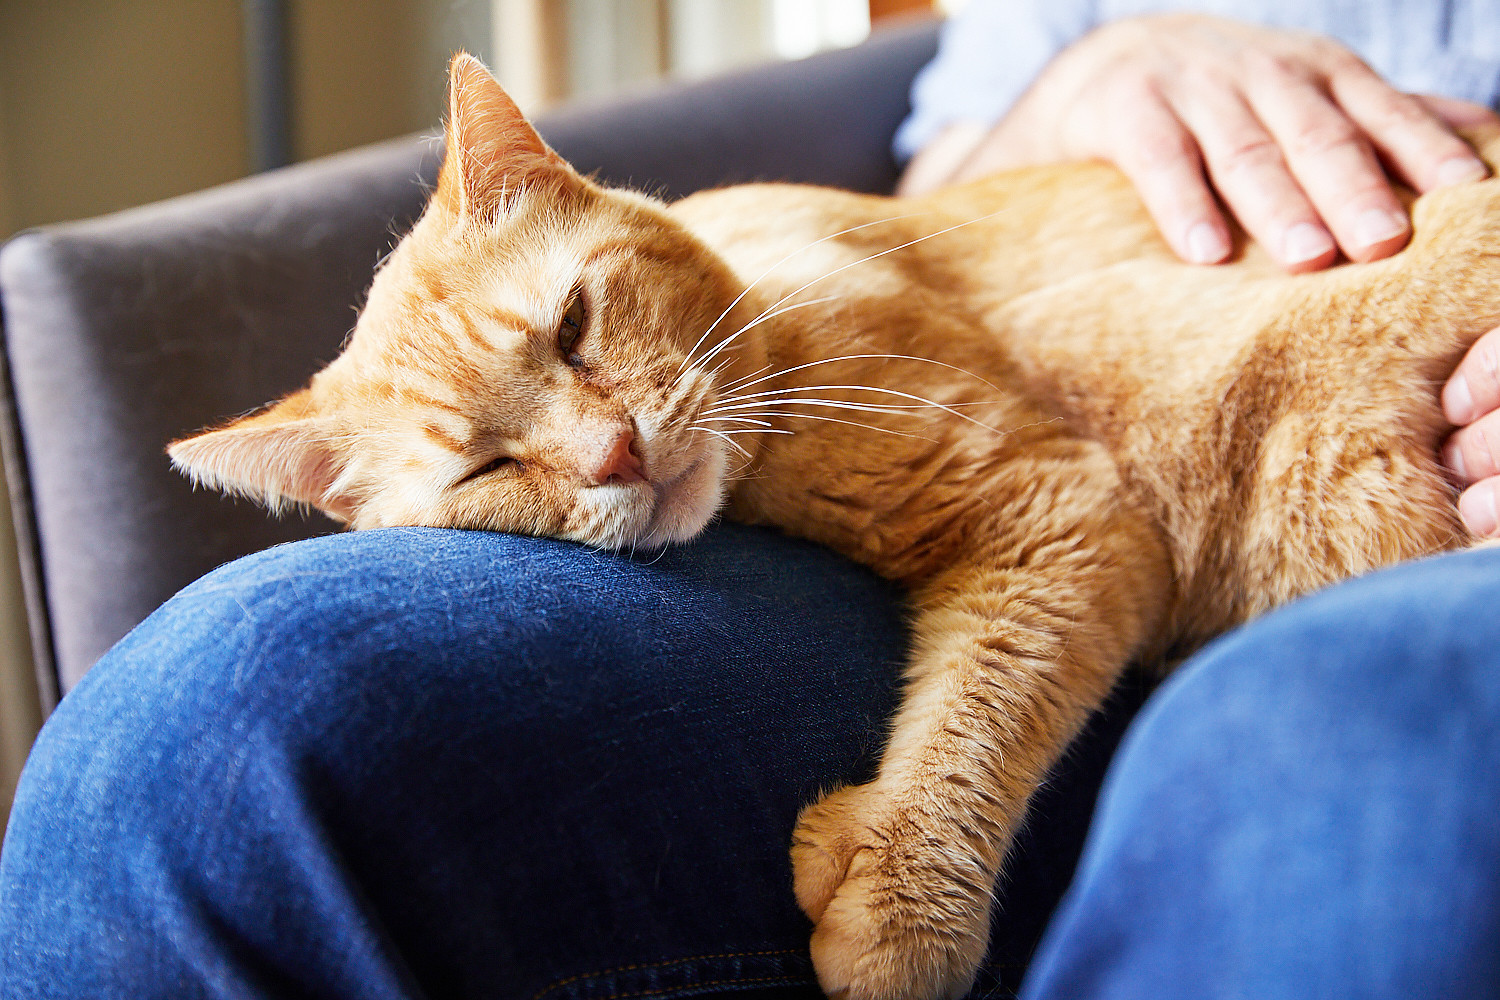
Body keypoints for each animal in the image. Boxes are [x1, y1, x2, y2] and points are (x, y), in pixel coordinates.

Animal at [170, 54, 1494, 1000]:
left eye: (575, 326)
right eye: (487, 468)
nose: (615, 454)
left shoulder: (1060, 505)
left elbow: (980, 705)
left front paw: (901, 900)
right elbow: (981, 694)